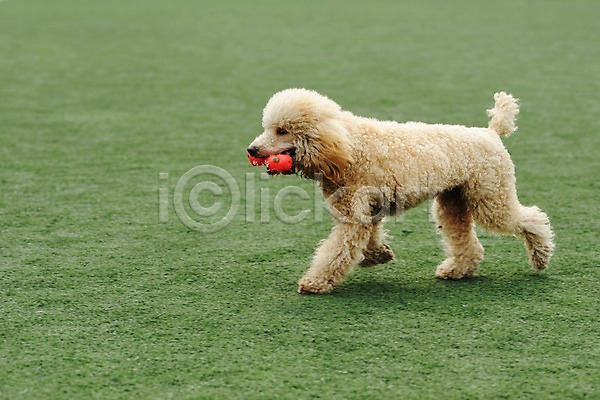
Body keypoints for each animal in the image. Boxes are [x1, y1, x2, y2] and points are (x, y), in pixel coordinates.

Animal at [247, 88, 552, 294]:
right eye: (268, 128)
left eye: (282, 130)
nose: (252, 149)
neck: (348, 147)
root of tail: (491, 132)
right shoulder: (367, 210)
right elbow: (367, 239)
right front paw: (380, 254)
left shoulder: (354, 215)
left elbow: (336, 251)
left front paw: (315, 282)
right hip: (454, 201)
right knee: (467, 242)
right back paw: (457, 270)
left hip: (490, 197)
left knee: (532, 219)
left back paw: (541, 257)